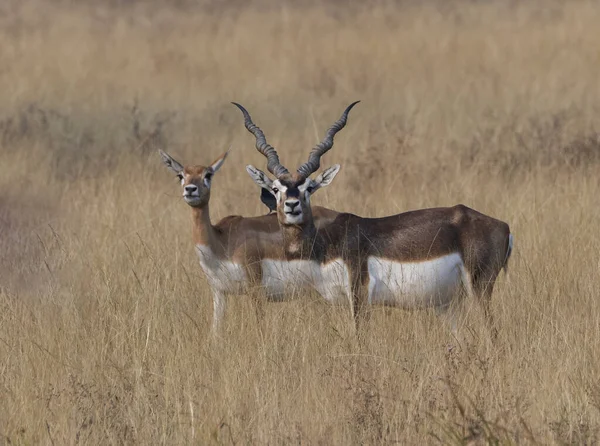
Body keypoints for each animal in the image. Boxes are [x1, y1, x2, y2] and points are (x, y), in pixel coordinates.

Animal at [158, 150, 338, 334]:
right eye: (180, 175)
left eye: (208, 174)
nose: (190, 189)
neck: (222, 243)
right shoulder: (218, 292)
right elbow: (215, 330)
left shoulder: (255, 290)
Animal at [237, 102, 512, 334]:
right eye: (276, 189)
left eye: (309, 188)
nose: (292, 206)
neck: (327, 243)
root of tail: (505, 227)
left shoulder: (359, 294)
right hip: (449, 305)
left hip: (478, 290)